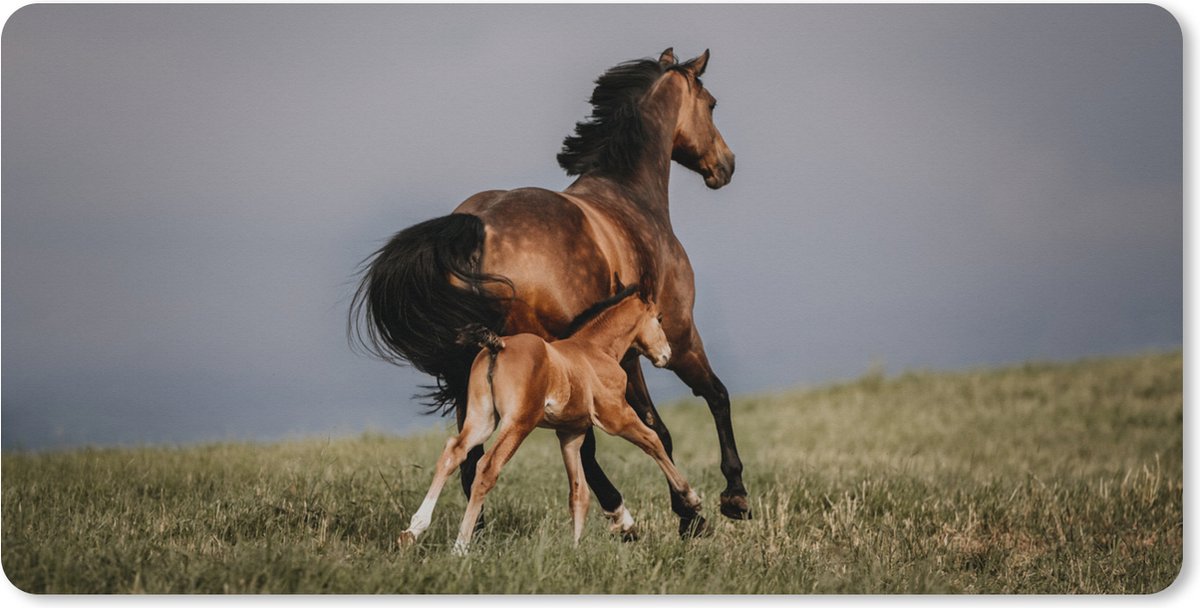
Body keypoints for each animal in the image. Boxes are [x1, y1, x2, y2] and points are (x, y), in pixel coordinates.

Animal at [397, 286, 701, 553]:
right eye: (659, 318)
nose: (666, 355)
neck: (596, 350)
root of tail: (498, 345)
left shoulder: (570, 434)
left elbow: (578, 494)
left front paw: (575, 551)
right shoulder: (616, 416)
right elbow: (653, 441)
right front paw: (692, 499)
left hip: (482, 420)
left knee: (453, 452)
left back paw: (413, 531)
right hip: (518, 423)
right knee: (487, 467)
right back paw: (460, 547)